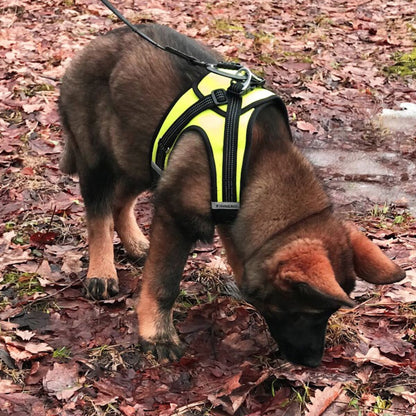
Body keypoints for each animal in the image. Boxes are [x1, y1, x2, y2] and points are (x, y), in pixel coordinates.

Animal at [60, 23, 404, 368]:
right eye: (307, 313)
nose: (313, 362)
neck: (256, 162)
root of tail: (100, 40)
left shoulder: (224, 207)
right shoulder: (176, 215)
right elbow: (164, 283)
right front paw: (158, 335)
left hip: (140, 155)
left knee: (121, 201)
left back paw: (135, 244)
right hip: (99, 161)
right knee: (99, 213)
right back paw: (101, 271)